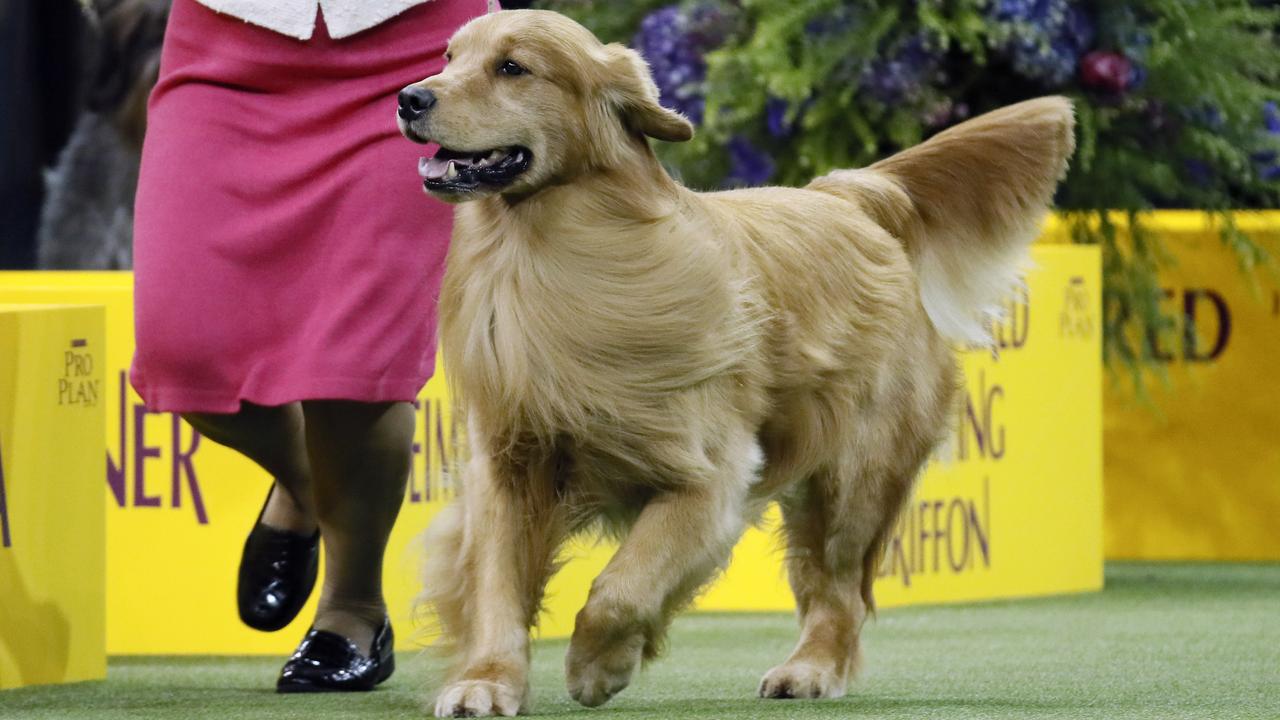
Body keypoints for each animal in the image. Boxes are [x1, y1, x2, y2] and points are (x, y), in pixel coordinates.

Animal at [394, 8, 1075, 712]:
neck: (547, 257)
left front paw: (597, 665)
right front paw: (486, 680)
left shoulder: (710, 476)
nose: (409, 98)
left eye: (512, 67)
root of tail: (847, 194)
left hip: (854, 477)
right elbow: (496, 587)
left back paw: (811, 668)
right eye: (448, 57)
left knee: (839, 590)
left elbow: (622, 587)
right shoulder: (506, 466)